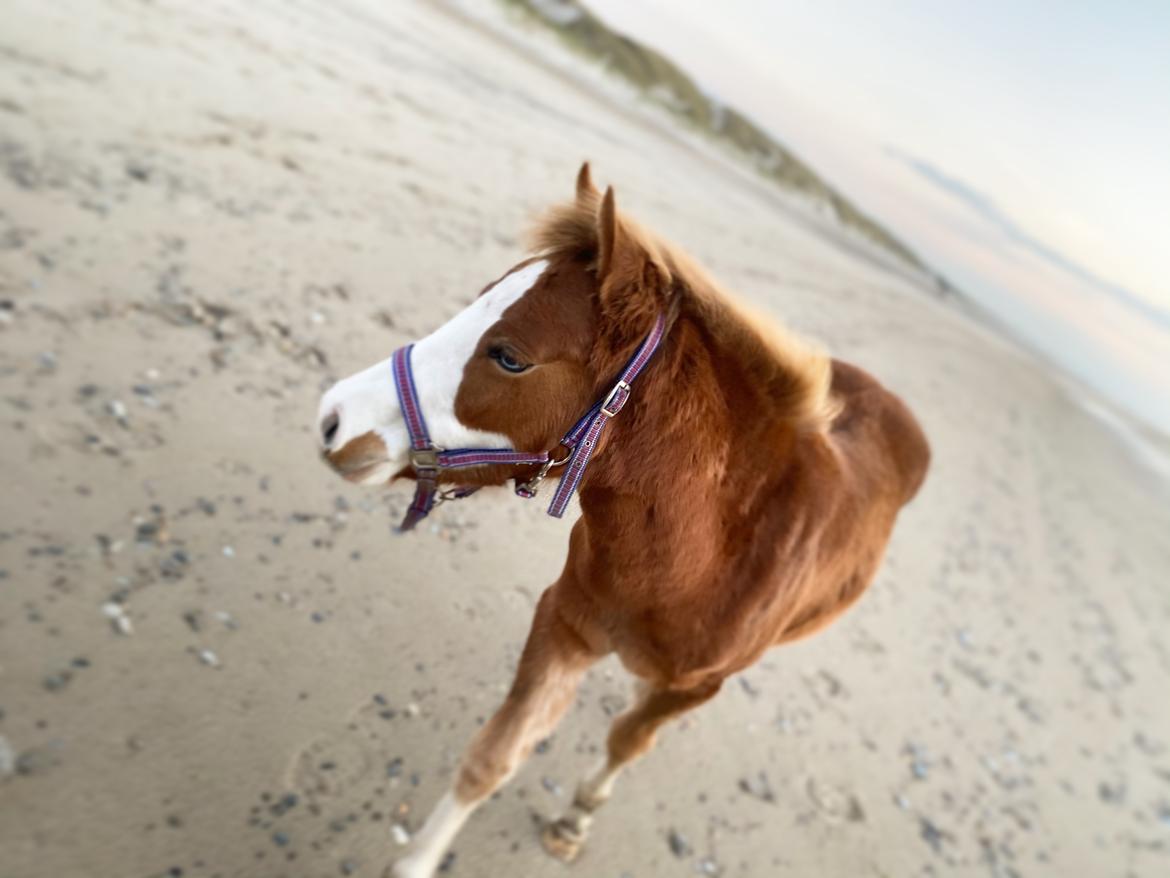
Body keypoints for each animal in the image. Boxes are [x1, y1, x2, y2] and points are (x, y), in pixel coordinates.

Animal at [318, 163, 931, 875]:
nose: (334, 420)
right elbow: (494, 757)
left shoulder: (696, 686)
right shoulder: (567, 624)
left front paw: (576, 817)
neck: (698, 559)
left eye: (509, 357)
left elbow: (627, 743)